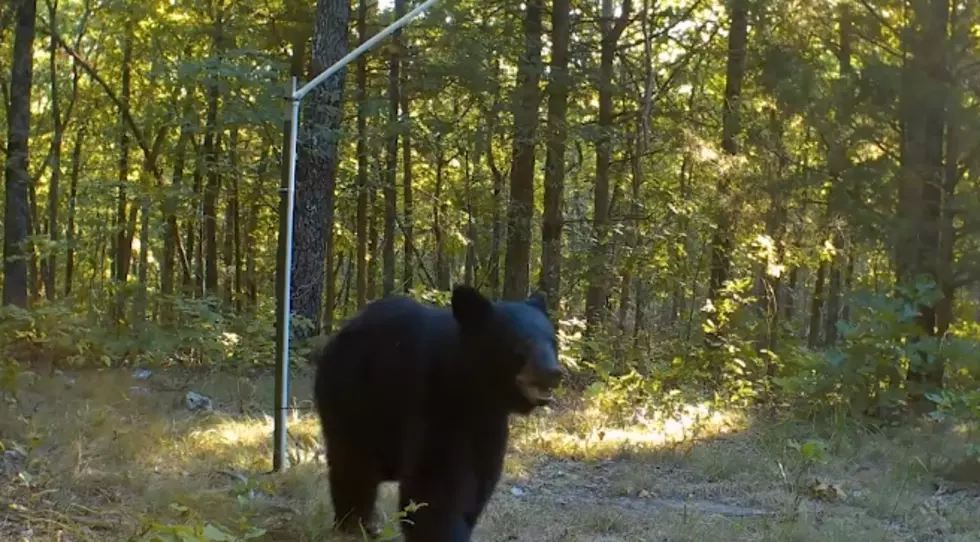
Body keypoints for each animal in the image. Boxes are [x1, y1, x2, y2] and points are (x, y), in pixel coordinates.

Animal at [310, 286, 564, 540]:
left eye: (552, 341)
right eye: (523, 343)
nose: (553, 372)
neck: (474, 391)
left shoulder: (488, 423)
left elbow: (479, 480)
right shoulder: (435, 404)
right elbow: (436, 485)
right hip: (354, 399)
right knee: (353, 464)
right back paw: (355, 524)